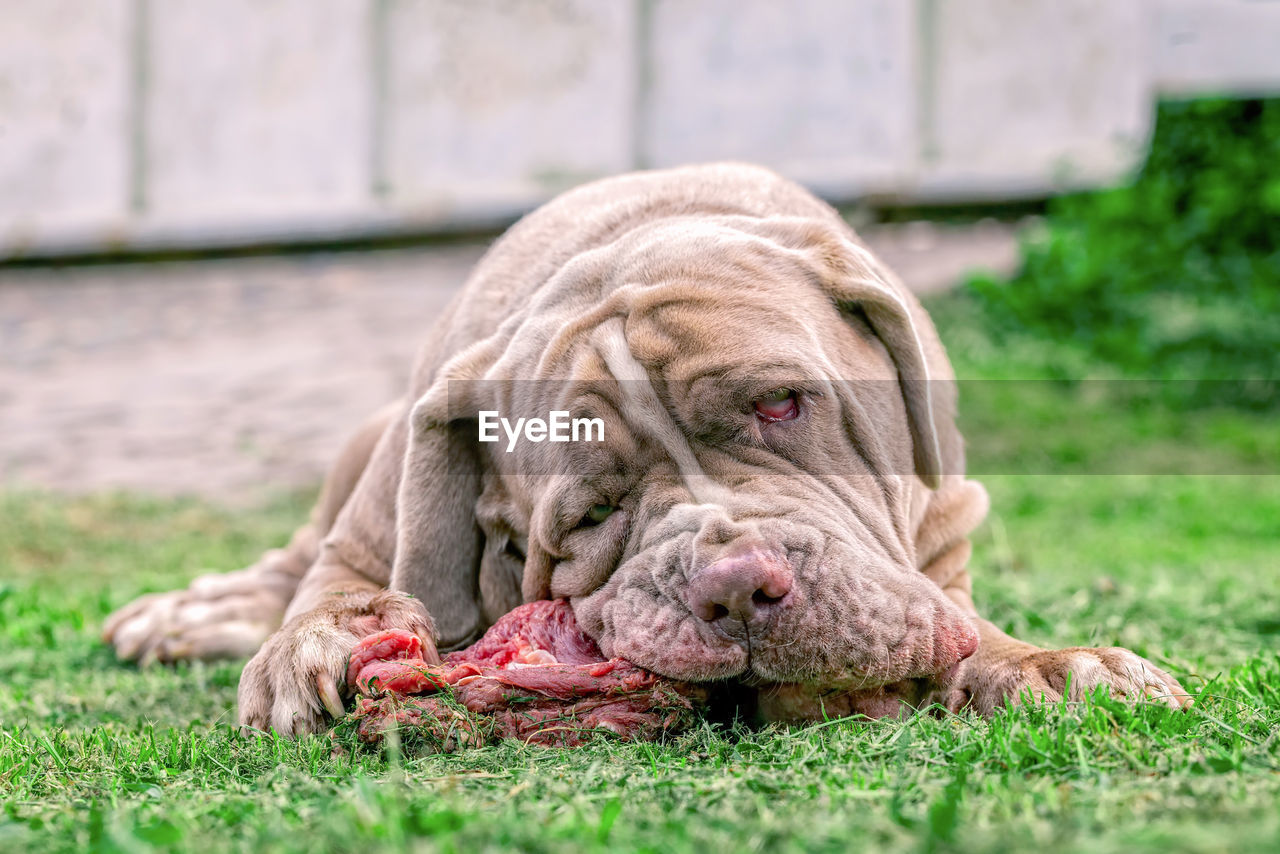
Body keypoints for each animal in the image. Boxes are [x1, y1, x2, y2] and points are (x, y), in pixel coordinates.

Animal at [102, 161, 1187, 737]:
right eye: (589, 515)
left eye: (783, 403)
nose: (735, 587)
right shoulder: (371, 525)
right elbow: (336, 591)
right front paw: (314, 647)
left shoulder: (943, 532)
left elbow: (964, 624)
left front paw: (1054, 665)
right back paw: (188, 614)